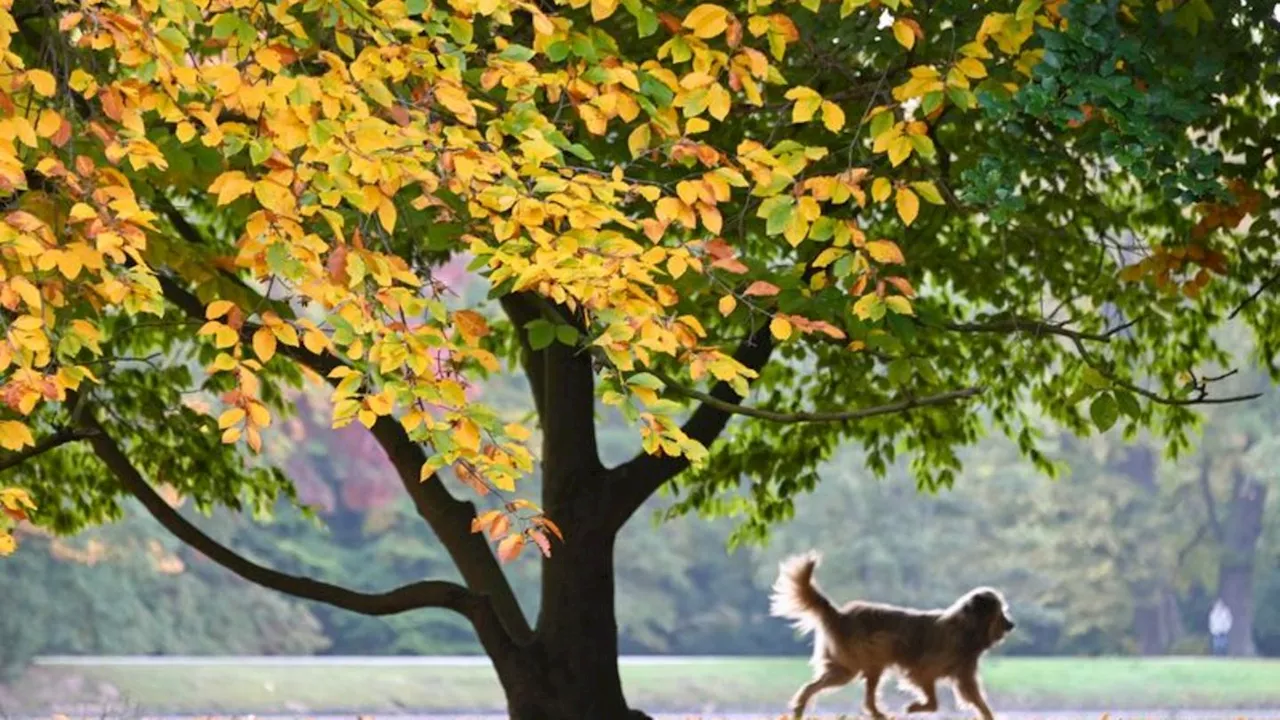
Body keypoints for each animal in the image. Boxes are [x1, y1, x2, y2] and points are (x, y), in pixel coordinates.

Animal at [768, 548, 1008, 717]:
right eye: (1000, 614)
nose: (1011, 625)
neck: (965, 629)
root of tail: (840, 615)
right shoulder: (922, 671)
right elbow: (932, 700)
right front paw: (914, 708)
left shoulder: (964, 675)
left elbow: (977, 701)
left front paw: (987, 715)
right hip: (865, 657)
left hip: (849, 665)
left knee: (821, 688)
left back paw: (803, 709)